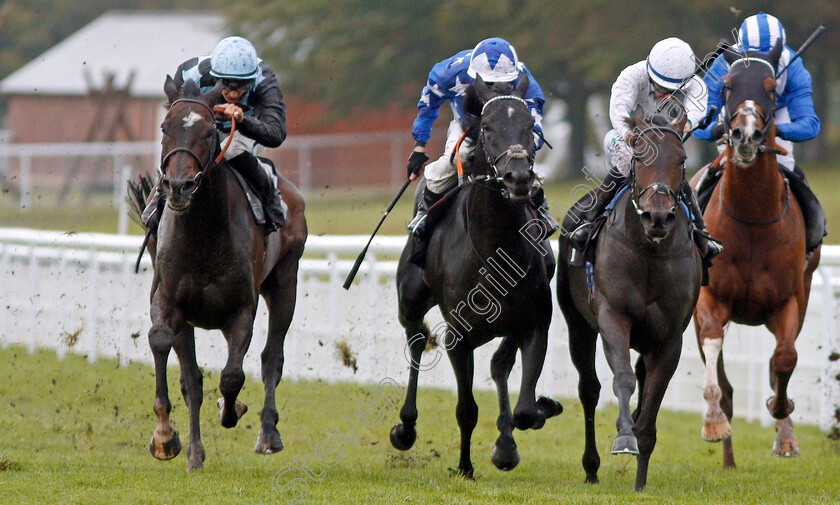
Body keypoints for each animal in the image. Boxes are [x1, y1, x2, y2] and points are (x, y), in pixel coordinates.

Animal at [128, 77, 306, 470]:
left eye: (210, 131)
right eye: (165, 127)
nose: (179, 186)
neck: (204, 236)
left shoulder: (242, 308)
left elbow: (232, 375)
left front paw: (231, 409)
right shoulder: (170, 301)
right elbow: (171, 355)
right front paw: (167, 438)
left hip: (285, 282)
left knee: (271, 359)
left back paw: (267, 433)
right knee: (194, 376)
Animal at [390, 75, 560, 476]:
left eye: (530, 126)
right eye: (488, 127)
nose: (518, 177)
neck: (495, 250)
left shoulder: (534, 324)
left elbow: (526, 409)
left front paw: (521, 430)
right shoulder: (459, 337)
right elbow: (466, 408)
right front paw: (465, 467)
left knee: (499, 366)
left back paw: (507, 440)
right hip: (410, 299)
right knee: (416, 338)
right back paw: (405, 427)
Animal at [556, 109, 704, 488]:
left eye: (682, 160)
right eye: (638, 157)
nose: (658, 216)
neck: (649, 252)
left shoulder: (670, 337)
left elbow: (653, 397)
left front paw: (640, 479)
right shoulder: (613, 316)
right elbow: (623, 377)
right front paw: (624, 436)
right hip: (577, 324)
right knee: (589, 389)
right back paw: (591, 467)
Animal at [688, 40, 820, 468]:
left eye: (772, 88)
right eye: (727, 85)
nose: (745, 135)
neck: (751, 218)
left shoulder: (790, 300)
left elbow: (784, 359)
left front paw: (783, 421)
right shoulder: (709, 298)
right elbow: (714, 351)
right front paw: (714, 423)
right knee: (722, 375)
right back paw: (728, 457)